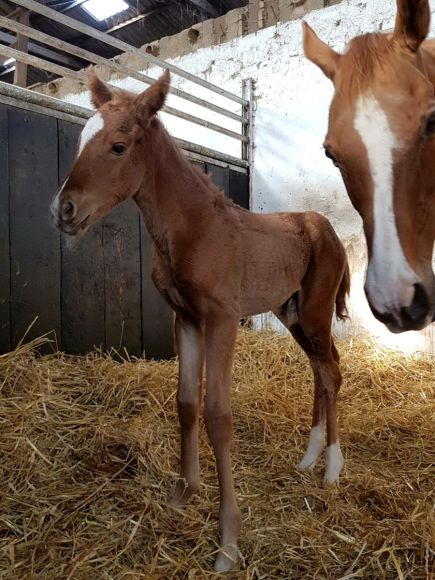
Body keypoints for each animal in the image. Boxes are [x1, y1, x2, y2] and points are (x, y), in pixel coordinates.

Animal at [52, 69, 350, 572]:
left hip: (314, 312)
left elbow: (217, 415)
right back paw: (308, 459)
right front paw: (182, 495)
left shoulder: (222, 320)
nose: (63, 211)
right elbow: (187, 404)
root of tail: (327, 228)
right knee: (318, 370)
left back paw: (331, 469)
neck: (194, 228)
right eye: (78, 141)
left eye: (118, 146)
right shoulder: (186, 320)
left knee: (331, 371)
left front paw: (228, 541)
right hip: (291, 313)